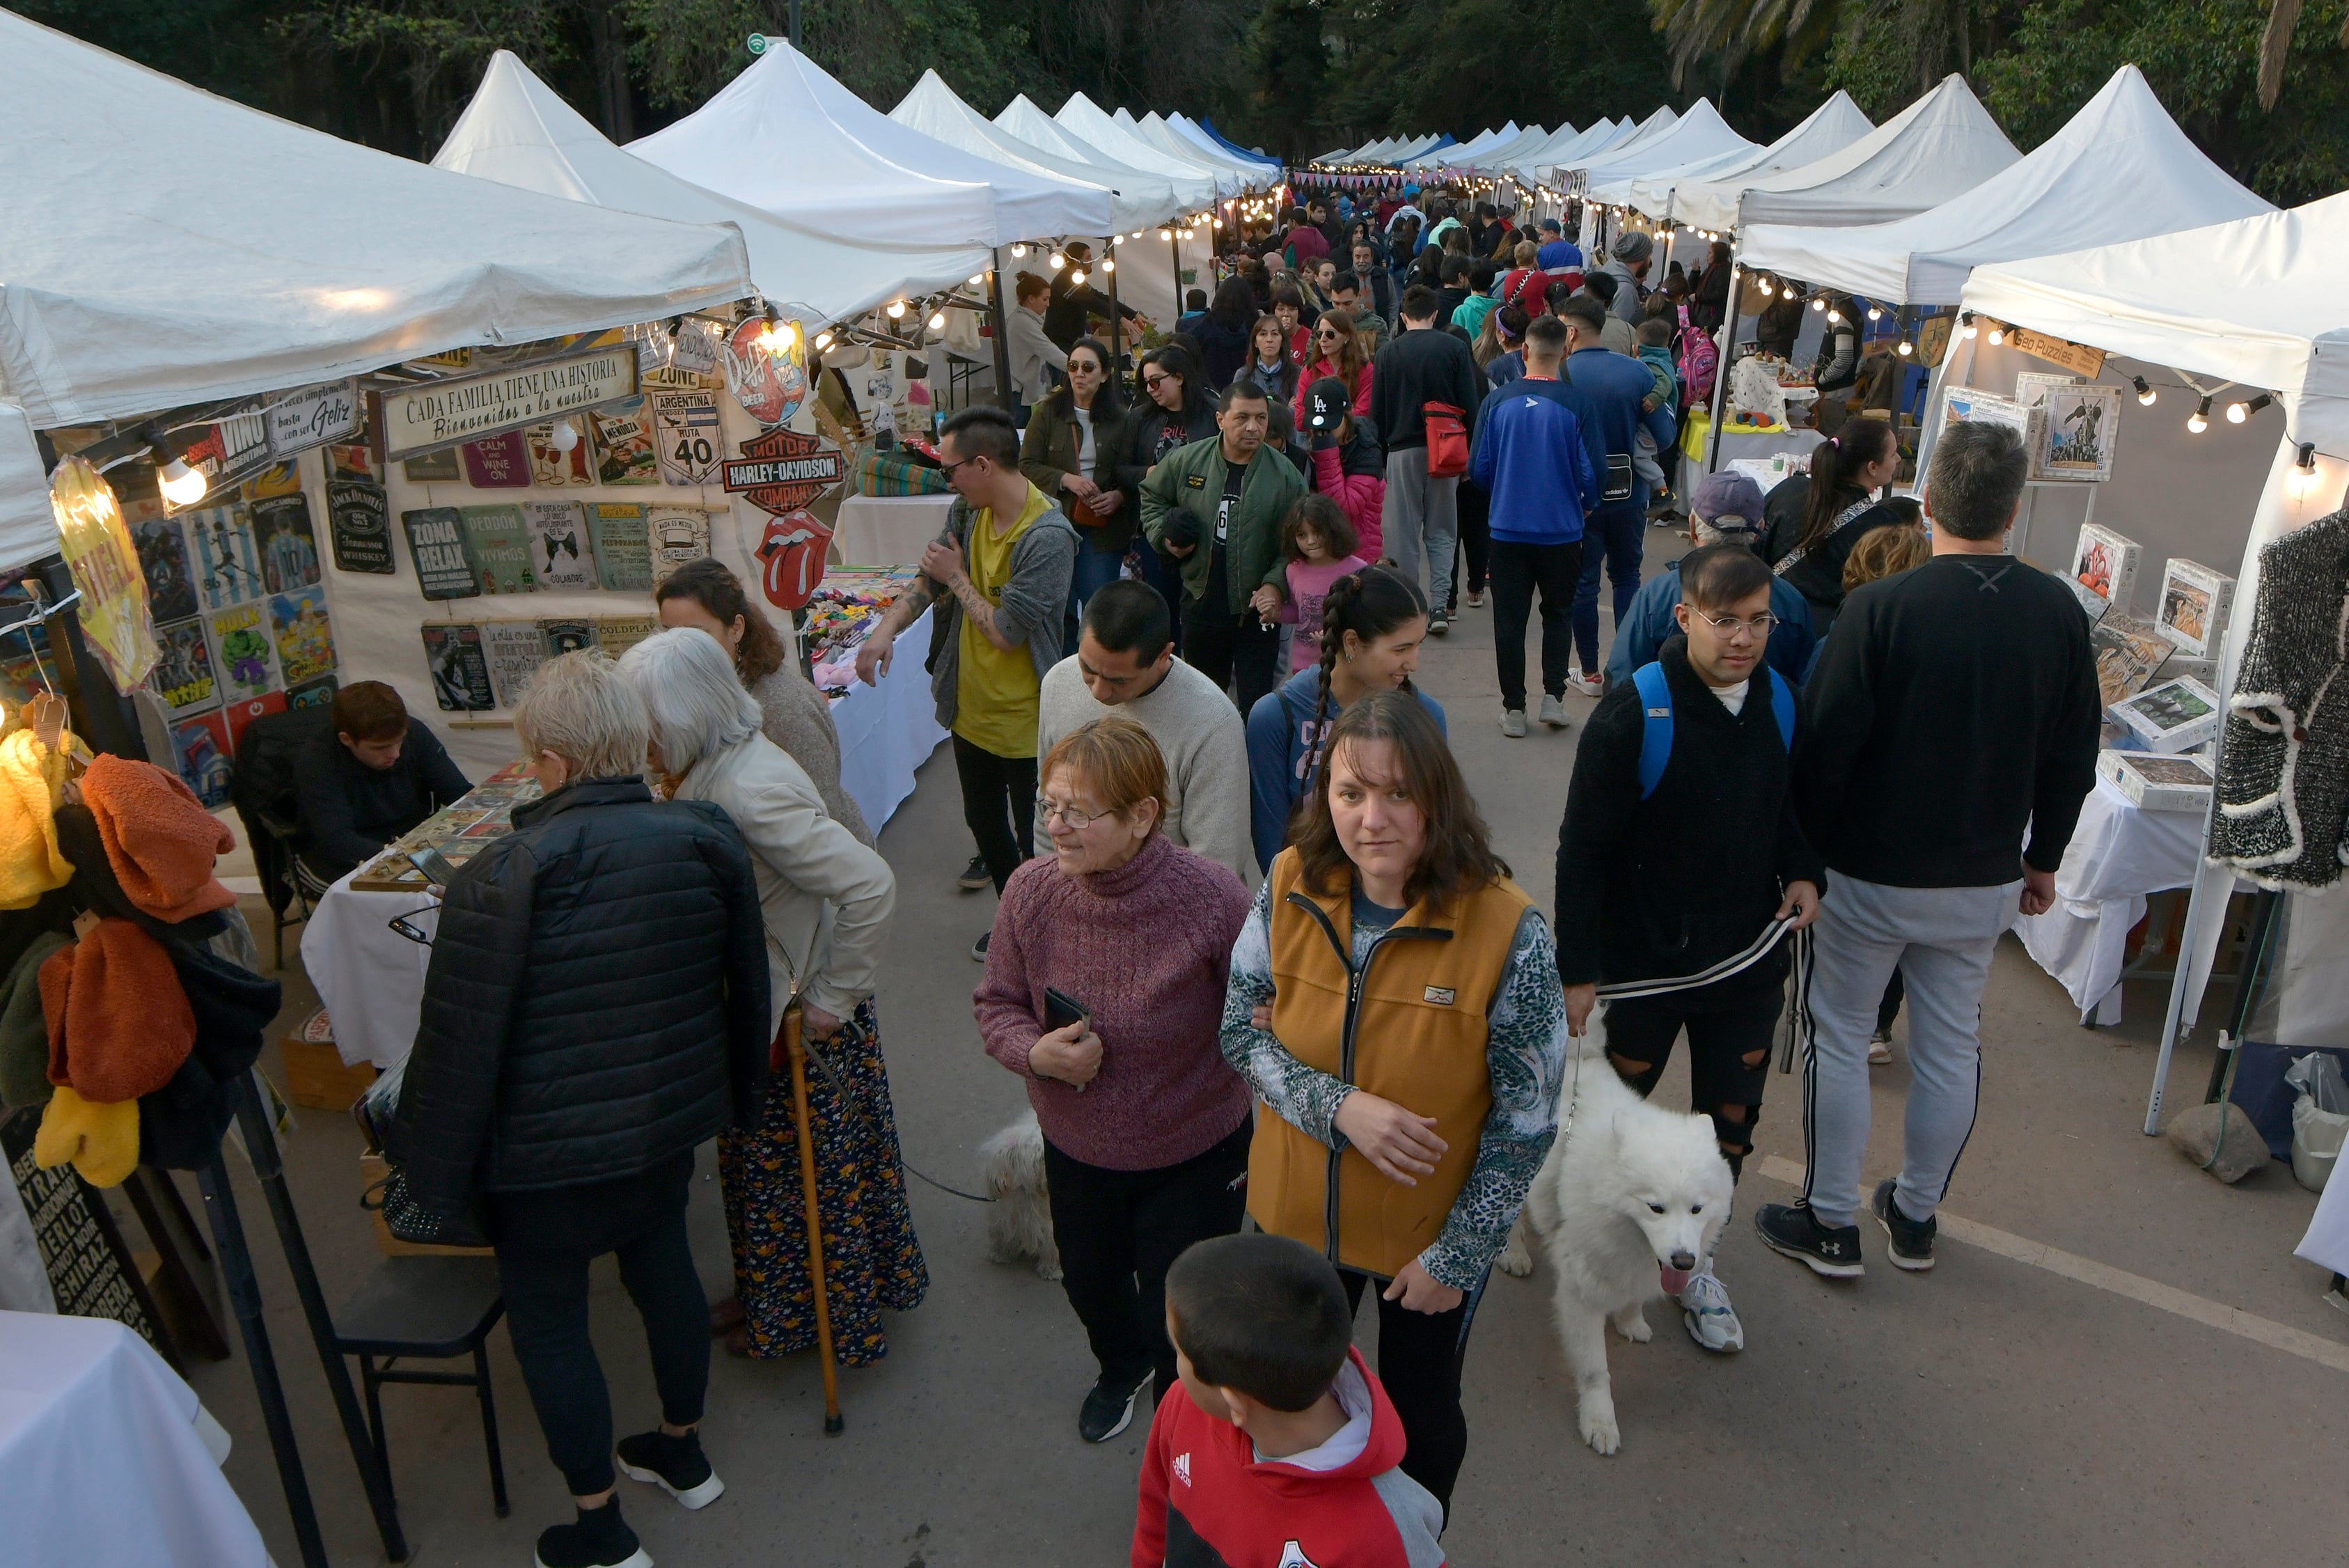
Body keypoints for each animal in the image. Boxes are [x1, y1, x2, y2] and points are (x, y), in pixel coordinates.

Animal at [972, 1109, 1066, 1278]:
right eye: (1042, 1157)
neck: (1029, 1195)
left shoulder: (1049, 1226)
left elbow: (1052, 1246)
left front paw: (1052, 1270)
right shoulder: (1004, 1216)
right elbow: (1002, 1235)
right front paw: (1000, 1254)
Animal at [1503, 1020, 1729, 1457]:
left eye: (1696, 1209)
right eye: (1656, 1208)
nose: (1684, 1262)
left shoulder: (1640, 1269)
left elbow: (1634, 1296)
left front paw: (1630, 1321)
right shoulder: (1581, 1292)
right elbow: (1595, 1371)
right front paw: (1599, 1422)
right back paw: (1514, 1252)